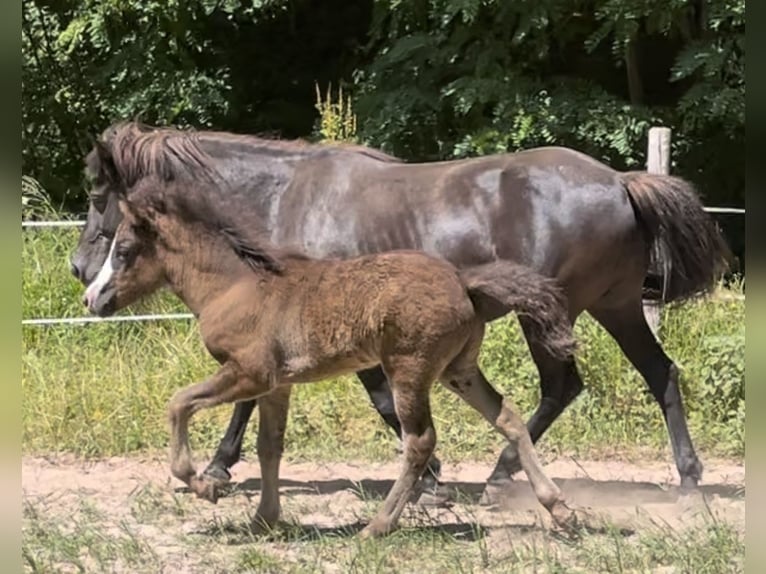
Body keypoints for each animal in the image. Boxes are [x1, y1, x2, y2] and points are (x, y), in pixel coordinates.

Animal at [71, 121, 731, 495]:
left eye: (100, 196)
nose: (81, 274)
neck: (282, 199)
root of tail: (620, 182)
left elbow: (379, 402)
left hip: (552, 314)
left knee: (562, 386)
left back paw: (500, 477)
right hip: (615, 307)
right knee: (659, 375)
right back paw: (687, 478)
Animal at [81, 175, 580, 537]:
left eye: (123, 251)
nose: (91, 298)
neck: (234, 285)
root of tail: (464, 280)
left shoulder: (249, 372)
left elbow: (178, 404)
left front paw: (205, 486)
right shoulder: (277, 385)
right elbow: (269, 446)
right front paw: (264, 519)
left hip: (409, 368)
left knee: (419, 441)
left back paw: (377, 526)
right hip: (458, 370)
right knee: (507, 417)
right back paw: (561, 510)